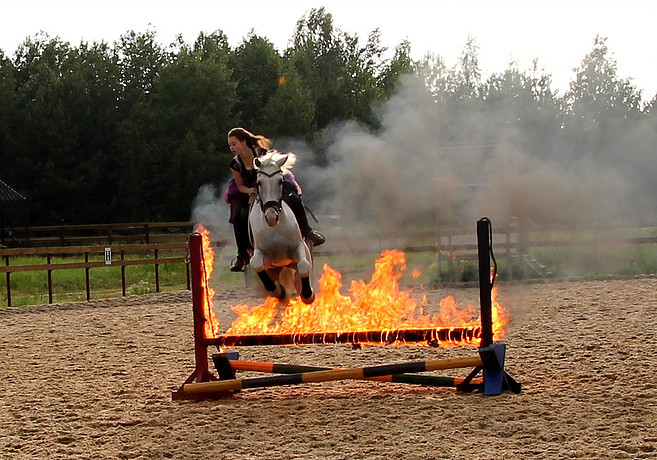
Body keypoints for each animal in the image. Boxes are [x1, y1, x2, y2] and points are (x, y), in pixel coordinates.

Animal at [249, 149, 316, 304]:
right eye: (259, 182)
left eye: (281, 181)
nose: (271, 216)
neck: (275, 228)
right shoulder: (263, 255)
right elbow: (255, 263)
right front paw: (277, 290)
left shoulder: (299, 246)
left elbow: (304, 266)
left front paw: (308, 294)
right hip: (274, 268)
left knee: (299, 278)